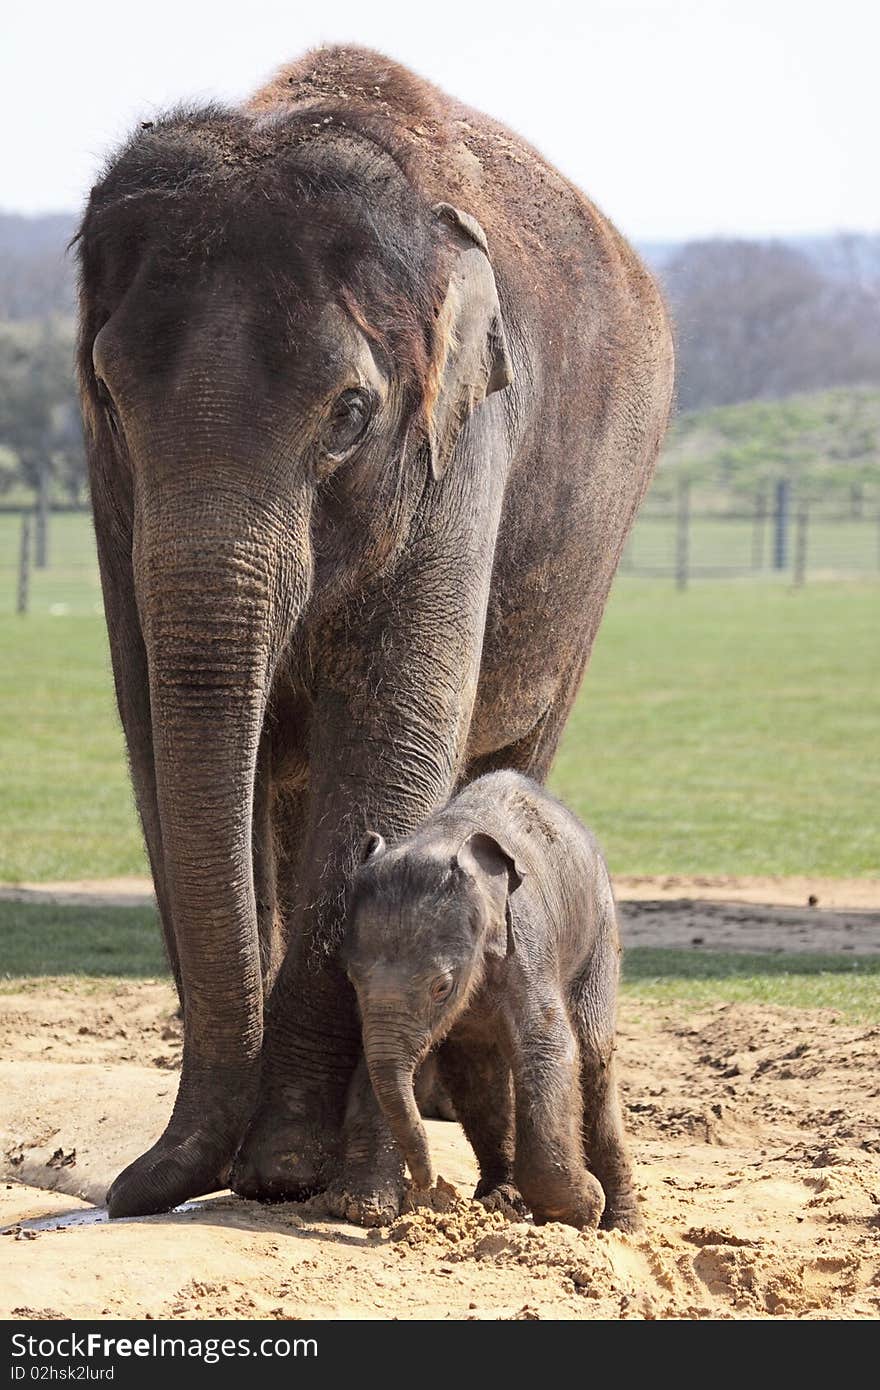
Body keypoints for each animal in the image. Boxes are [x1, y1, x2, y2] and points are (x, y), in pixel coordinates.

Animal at [346, 767, 642, 1234]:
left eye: (442, 987)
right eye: (351, 978)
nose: (424, 1184)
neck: (445, 840)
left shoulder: (525, 939)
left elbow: (550, 1046)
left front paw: (585, 1209)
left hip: (599, 931)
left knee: (595, 1054)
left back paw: (624, 1225)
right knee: (478, 1071)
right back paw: (500, 1198)